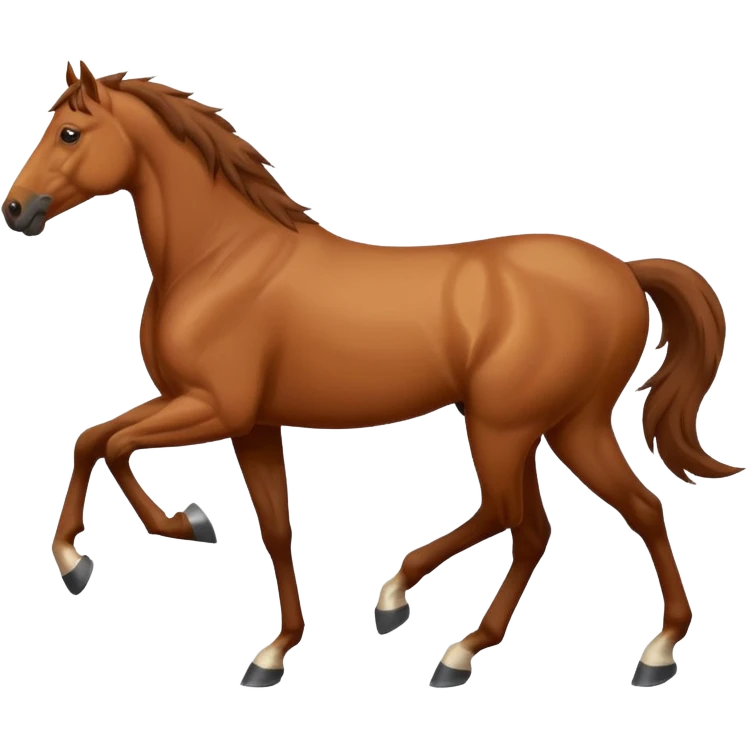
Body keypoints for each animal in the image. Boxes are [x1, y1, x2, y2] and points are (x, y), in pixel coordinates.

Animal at [4, 60, 741, 690]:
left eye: (69, 131)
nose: (16, 210)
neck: (221, 257)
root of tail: (624, 271)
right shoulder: (247, 422)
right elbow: (267, 523)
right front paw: (273, 651)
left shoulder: (216, 406)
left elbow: (108, 443)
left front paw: (146, 538)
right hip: (569, 426)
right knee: (613, 512)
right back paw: (643, 652)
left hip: (506, 425)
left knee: (521, 519)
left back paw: (433, 628)